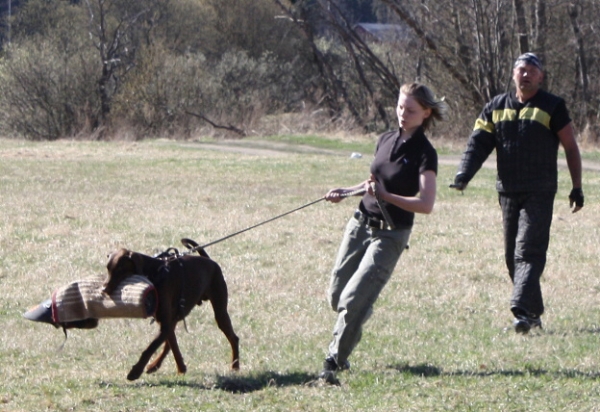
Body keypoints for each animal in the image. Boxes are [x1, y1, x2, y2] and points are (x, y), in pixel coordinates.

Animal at [104, 245, 240, 380]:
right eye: (108, 268)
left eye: (120, 269)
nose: (104, 289)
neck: (155, 274)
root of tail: (210, 261)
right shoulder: (164, 321)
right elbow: (171, 344)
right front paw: (181, 368)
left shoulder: (165, 323)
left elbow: (150, 348)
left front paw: (135, 371)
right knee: (169, 343)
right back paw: (156, 365)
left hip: (220, 310)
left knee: (233, 337)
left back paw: (235, 365)